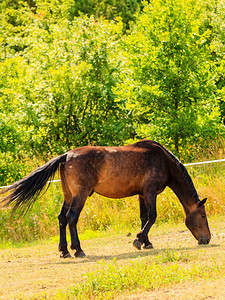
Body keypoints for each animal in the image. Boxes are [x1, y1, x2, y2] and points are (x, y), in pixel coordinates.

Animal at [0, 139, 211, 256]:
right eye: (203, 216)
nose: (207, 239)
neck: (163, 160)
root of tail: (66, 155)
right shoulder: (150, 193)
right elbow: (152, 217)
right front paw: (138, 240)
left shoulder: (142, 195)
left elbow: (144, 217)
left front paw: (146, 242)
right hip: (80, 196)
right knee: (71, 218)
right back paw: (78, 250)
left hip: (68, 195)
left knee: (61, 219)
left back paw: (64, 251)